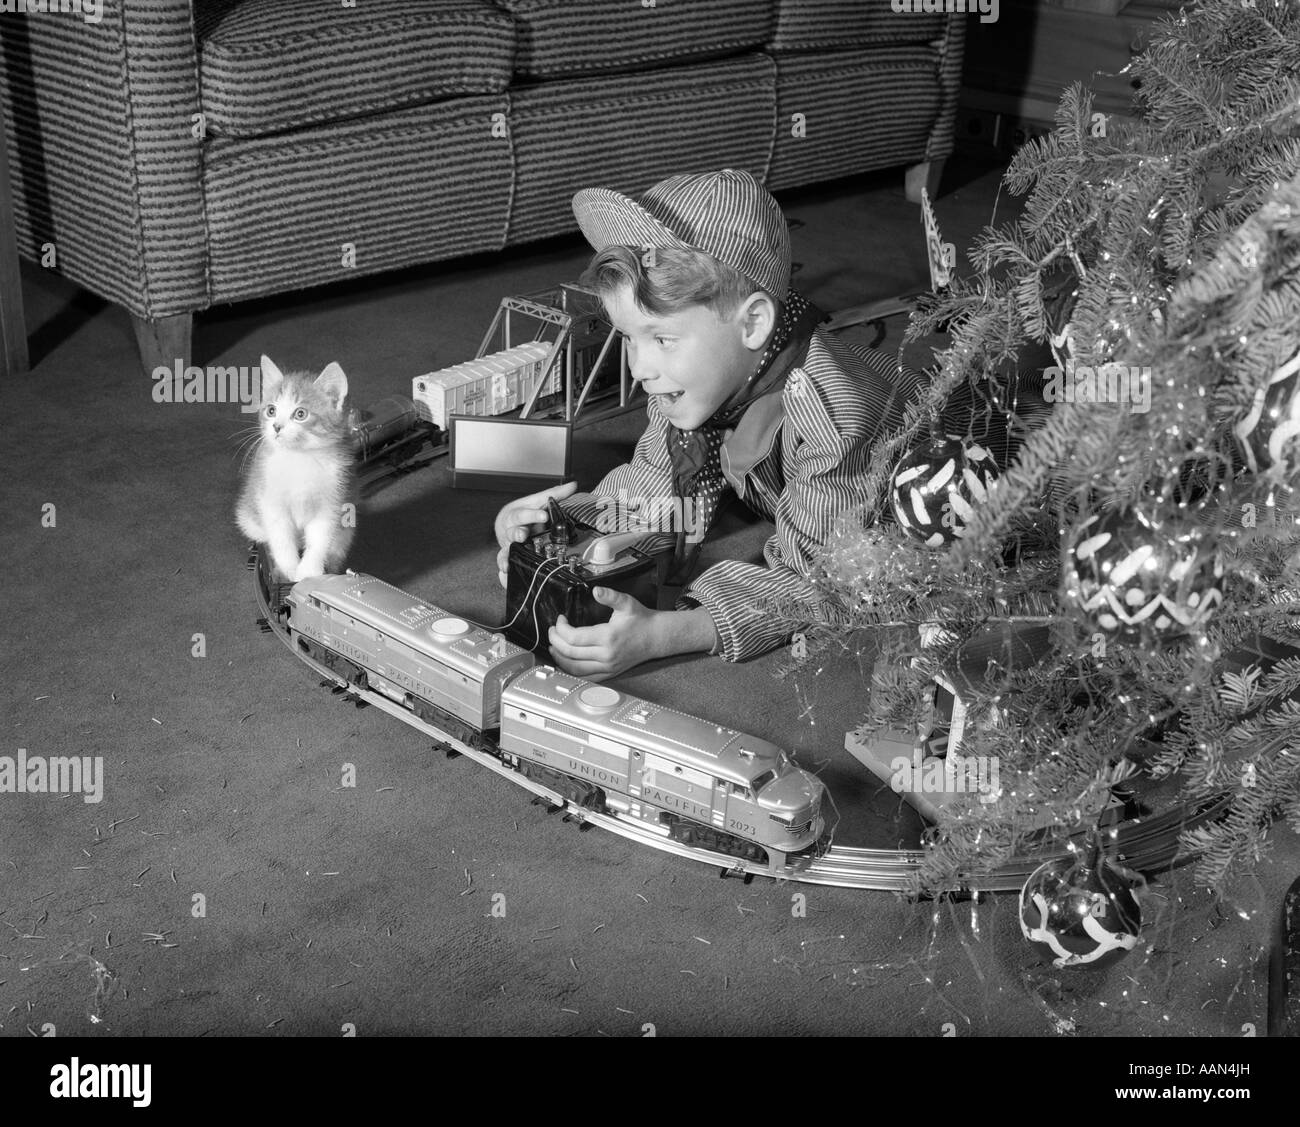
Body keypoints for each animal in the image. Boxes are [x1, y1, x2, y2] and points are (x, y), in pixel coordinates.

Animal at [236, 356, 358, 584]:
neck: (299, 458)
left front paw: (309, 571)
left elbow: (321, 535)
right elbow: (280, 536)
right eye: (271, 410)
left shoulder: (334, 496)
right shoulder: (269, 497)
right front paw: (289, 570)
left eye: (300, 414)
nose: (276, 426)